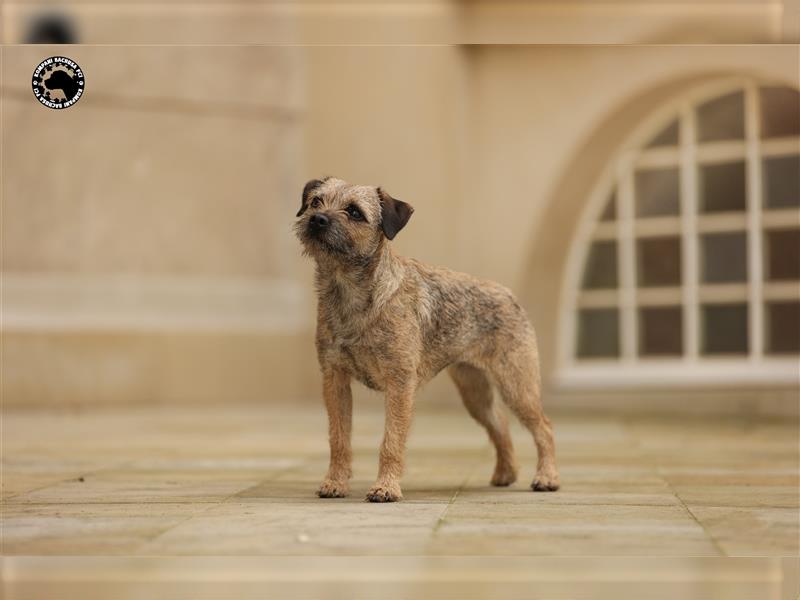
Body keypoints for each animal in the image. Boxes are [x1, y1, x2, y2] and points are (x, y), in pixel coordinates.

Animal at [290, 178, 560, 502]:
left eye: (354, 212)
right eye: (316, 202)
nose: (317, 219)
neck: (351, 293)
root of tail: (508, 293)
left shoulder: (399, 383)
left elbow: (391, 441)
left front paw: (385, 488)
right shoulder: (335, 379)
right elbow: (339, 438)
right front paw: (335, 483)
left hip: (517, 385)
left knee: (544, 427)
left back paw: (546, 477)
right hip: (475, 393)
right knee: (501, 424)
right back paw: (506, 473)